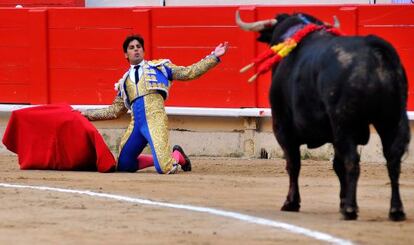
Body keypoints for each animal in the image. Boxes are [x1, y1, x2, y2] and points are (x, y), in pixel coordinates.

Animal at [236, 11, 410, 221]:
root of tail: (373, 51)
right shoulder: (333, 135)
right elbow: (336, 165)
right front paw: (342, 201)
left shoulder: (283, 128)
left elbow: (293, 164)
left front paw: (291, 203)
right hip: (391, 119)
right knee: (393, 161)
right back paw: (396, 210)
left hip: (345, 123)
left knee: (352, 161)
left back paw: (351, 210)